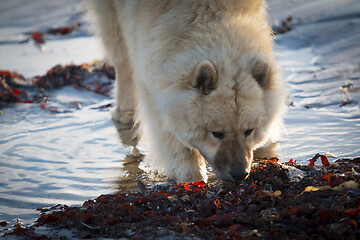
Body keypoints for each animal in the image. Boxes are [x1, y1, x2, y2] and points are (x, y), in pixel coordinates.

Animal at [86, 0, 286, 183]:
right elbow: (173, 136)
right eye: (217, 134)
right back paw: (125, 111)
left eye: (248, 131)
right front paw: (192, 175)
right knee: (121, 57)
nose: (240, 174)